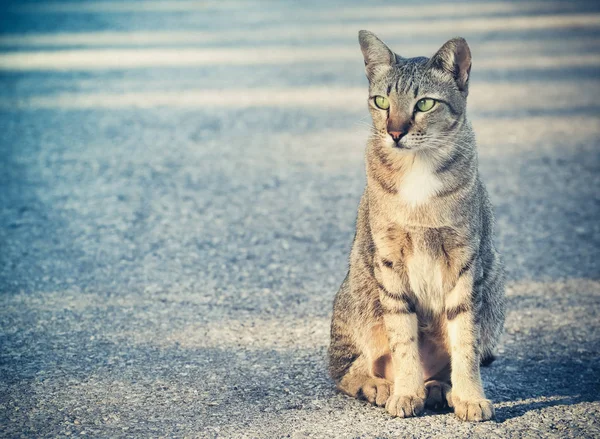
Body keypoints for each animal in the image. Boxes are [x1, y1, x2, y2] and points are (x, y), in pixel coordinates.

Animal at [328, 31, 506, 422]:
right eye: (381, 102)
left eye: (424, 104)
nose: (394, 132)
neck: (418, 167)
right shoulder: (389, 258)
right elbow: (402, 337)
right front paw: (406, 392)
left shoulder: (464, 259)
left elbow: (465, 341)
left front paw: (470, 396)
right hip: (360, 294)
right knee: (344, 371)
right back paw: (381, 386)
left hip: (495, 289)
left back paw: (440, 388)